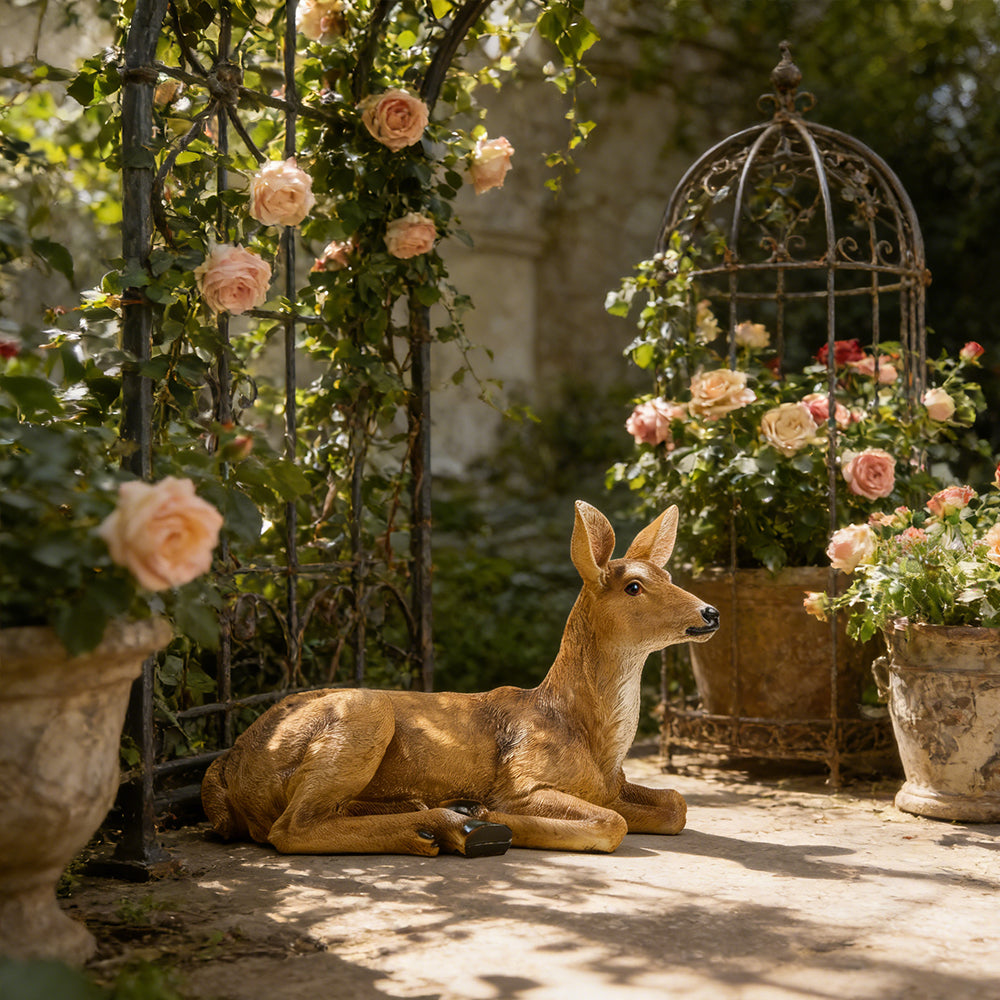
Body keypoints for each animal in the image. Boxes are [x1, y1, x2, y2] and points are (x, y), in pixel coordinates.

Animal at [201, 501, 719, 858]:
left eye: (668, 575)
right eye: (634, 586)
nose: (710, 612)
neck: (588, 736)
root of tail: (226, 767)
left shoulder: (611, 786)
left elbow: (676, 804)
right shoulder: (523, 779)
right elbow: (613, 824)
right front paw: (489, 812)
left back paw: (436, 815)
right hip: (363, 711)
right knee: (291, 828)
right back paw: (450, 826)